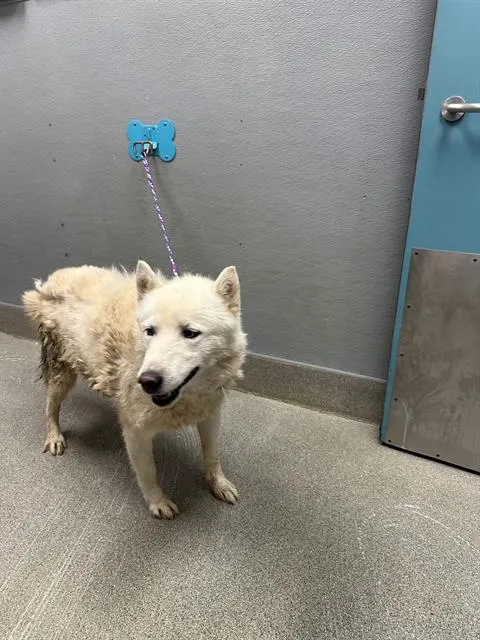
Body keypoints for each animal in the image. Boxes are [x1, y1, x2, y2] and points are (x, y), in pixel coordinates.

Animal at [23, 261, 247, 519]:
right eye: (150, 331)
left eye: (190, 333)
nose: (147, 381)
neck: (187, 397)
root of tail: (51, 281)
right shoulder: (136, 431)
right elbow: (148, 472)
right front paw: (158, 502)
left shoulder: (209, 414)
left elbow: (212, 455)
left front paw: (219, 484)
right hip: (62, 375)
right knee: (50, 406)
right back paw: (54, 436)